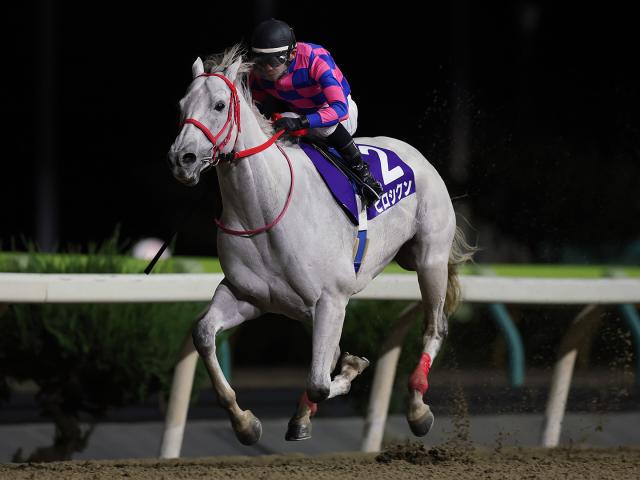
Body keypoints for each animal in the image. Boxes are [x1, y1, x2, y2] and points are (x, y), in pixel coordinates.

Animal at [167, 44, 474, 446]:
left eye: (219, 105)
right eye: (181, 104)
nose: (181, 159)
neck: (265, 209)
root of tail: (415, 154)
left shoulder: (331, 299)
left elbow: (319, 382)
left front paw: (351, 370)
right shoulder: (248, 296)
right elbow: (204, 334)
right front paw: (245, 422)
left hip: (430, 259)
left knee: (435, 327)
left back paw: (418, 407)